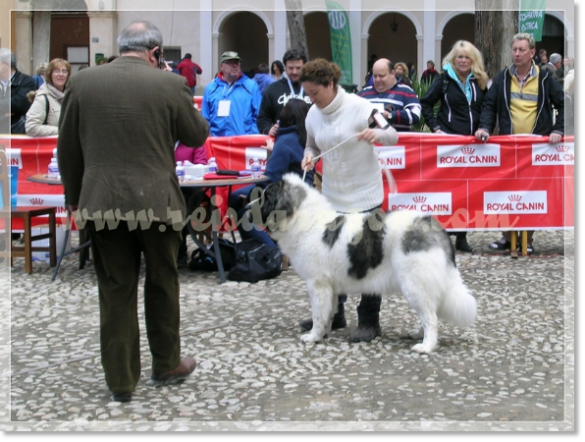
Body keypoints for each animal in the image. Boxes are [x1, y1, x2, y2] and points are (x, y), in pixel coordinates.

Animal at [253, 174, 476, 354]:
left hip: (414, 284)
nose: (247, 207)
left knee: (431, 317)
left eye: (267, 197)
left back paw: (426, 346)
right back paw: (417, 335)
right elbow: (328, 313)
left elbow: (318, 314)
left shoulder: (317, 284)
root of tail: (435, 227)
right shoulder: (330, 287)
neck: (306, 221)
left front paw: (313, 337)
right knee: (430, 313)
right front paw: (324, 333)